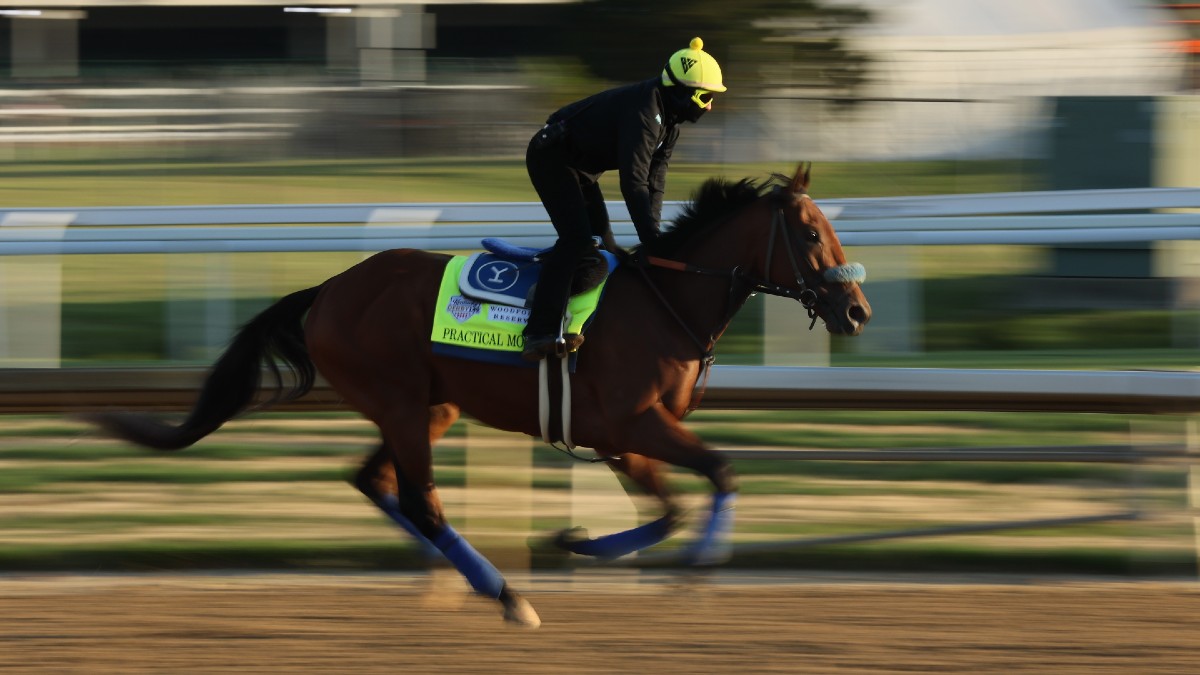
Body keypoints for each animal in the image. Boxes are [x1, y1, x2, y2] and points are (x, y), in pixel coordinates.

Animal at [87, 162, 873, 624]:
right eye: (810, 234)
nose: (857, 311)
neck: (667, 300)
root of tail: (329, 289)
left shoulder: (619, 437)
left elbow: (672, 506)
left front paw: (579, 540)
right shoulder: (632, 422)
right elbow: (719, 471)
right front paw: (695, 567)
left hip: (428, 406)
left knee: (375, 482)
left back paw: (465, 579)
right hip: (403, 403)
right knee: (419, 500)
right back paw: (506, 595)